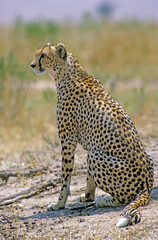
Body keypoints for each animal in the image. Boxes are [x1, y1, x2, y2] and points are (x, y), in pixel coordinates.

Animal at [30, 42, 153, 227]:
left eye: (43, 55)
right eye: (37, 54)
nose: (32, 65)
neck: (67, 73)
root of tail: (147, 187)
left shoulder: (67, 141)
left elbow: (65, 177)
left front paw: (59, 204)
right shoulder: (88, 145)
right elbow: (88, 176)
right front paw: (87, 196)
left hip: (97, 156)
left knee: (125, 198)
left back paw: (104, 200)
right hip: (143, 157)